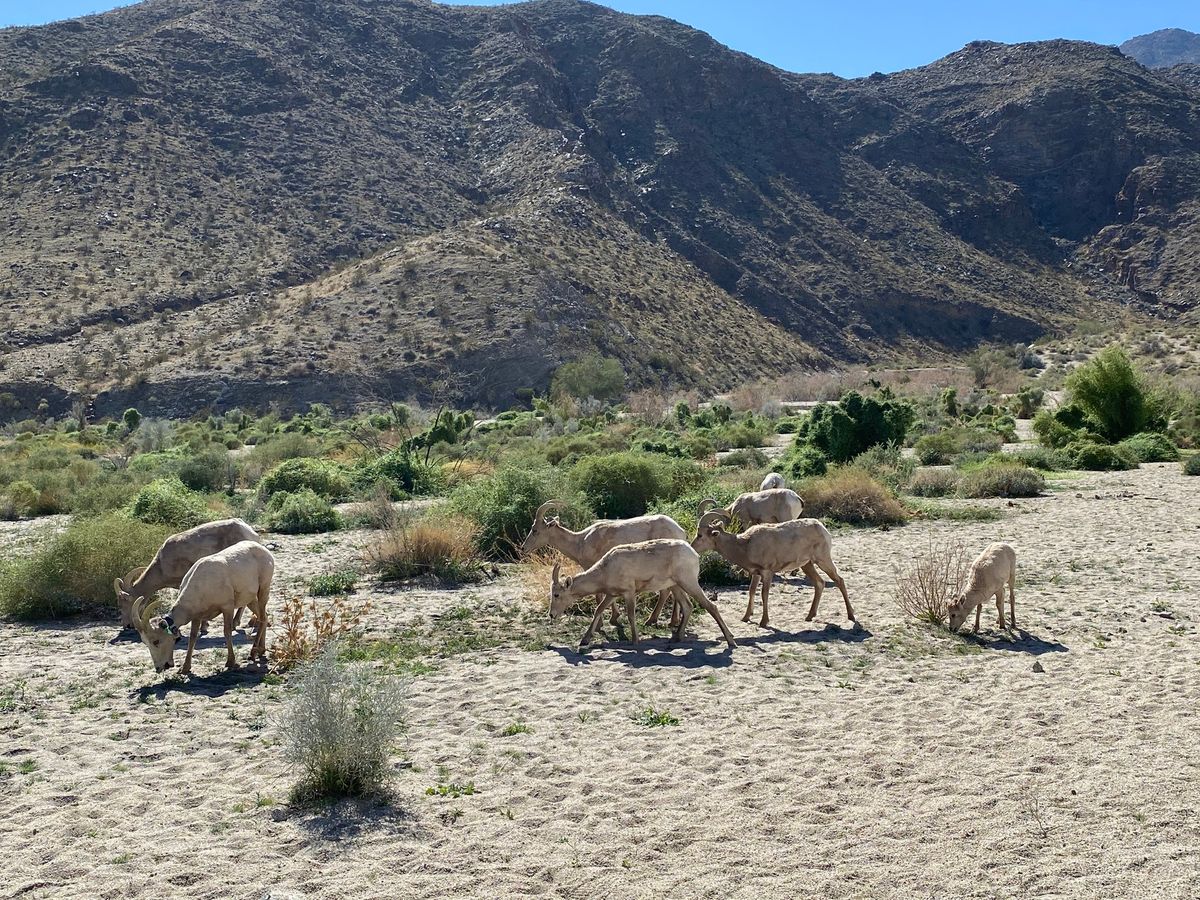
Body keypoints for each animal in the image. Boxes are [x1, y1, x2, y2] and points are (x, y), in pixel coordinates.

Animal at [114, 518, 260, 628]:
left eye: (123, 603)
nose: (127, 625)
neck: (162, 564)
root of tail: (251, 533)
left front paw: (203, 627)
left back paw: (235, 623)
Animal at [131, 542, 274, 676]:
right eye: (145, 642)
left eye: (156, 641)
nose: (160, 667)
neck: (201, 583)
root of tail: (264, 550)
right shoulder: (197, 616)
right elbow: (193, 637)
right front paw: (184, 668)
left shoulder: (227, 607)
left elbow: (227, 631)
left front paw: (230, 662)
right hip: (251, 599)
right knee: (264, 617)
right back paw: (261, 651)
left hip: (263, 589)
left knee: (262, 618)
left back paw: (253, 652)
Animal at [523, 501, 691, 633]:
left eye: (535, 530)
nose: (524, 548)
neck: (580, 542)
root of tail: (681, 532)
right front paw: (613, 618)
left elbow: (599, 595)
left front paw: (604, 623)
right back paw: (672, 621)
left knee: (666, 591)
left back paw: (653, 620)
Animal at [549, 540, 734, 652]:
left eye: (556, 594)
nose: (551, 614)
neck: (606, 569)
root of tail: (694, 554)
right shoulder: (612, 594)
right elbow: (598, 610)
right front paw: (584, 640)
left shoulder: (629, 592)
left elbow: (631, 615)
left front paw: (635, 640)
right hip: (675, 585)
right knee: (688, 606)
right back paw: (676, 638)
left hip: (688, 581)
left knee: (710, 606)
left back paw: (731, 641)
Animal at [696, 511, 854, 628]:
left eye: (700, 535)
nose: (693, 547)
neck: (745, 545)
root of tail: (821, 527)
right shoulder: (756, 574)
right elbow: (751, 591)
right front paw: (745, 617)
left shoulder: (767, 572)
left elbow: (764, 594)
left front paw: (763, 622)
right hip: (807, 564)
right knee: (820, 583)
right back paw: (809, 616)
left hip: (823, 560)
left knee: (839, 580)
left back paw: (851, 615)